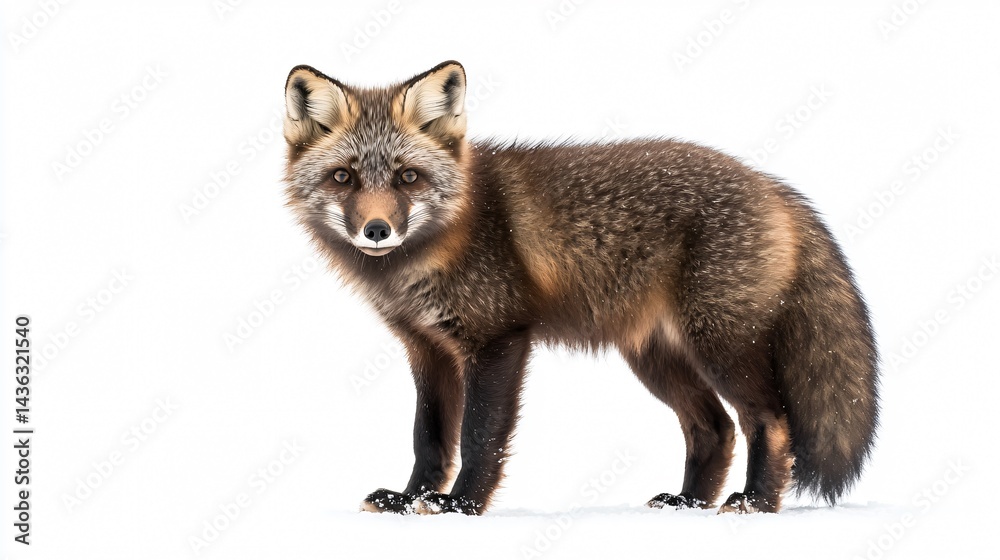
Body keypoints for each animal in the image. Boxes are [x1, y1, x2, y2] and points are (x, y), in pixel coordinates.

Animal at [281, 61, 879, 515]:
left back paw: (755, 503)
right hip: (656, 357)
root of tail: (775, 185)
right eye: (344, 178)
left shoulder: (498, 339)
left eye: (407, 177)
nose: (377, 230)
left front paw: (462, 505)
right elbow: (428, 439)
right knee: (714, 429)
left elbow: (478, 437)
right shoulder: (427, 349)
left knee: (769, 423)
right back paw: (688, 503)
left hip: (721, 346)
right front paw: (411, 501)